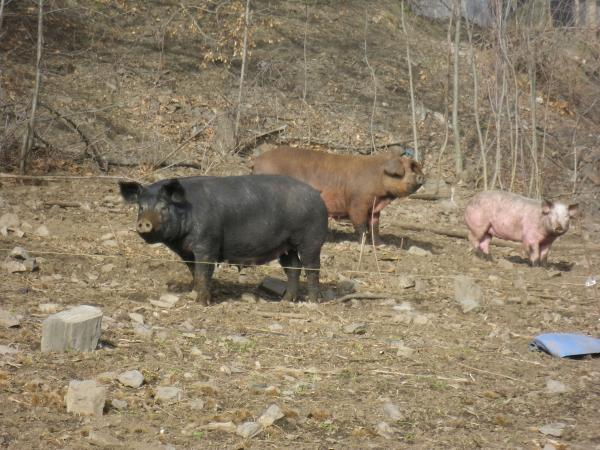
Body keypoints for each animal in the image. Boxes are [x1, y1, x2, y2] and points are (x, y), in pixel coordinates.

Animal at [118, 176, 328, 306]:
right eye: (140, 207)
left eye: (163, 207)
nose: (144, 223)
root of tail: (318, 195)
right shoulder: (187, 251)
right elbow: (195, 272)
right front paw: (193, 294)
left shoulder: (207, 243)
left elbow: (204, 271)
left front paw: (202, 303)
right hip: (285, 245)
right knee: (293, 267)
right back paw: (285, 300)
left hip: (311, 239)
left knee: (312, 267)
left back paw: (312, 301)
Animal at [251, 145, 424, 243]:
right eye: (407, 169)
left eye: (415, 168)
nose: (422, 176)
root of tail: (256, 161)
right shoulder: (358, 203)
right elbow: (360, 224)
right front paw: (364, 243)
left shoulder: (374, 209)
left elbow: (375, 225)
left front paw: (380, 243)